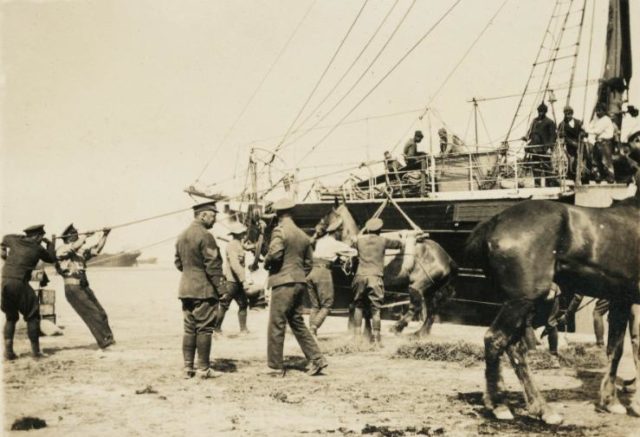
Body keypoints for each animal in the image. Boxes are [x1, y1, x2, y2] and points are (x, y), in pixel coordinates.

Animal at [464, 175, 640, 424]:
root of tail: (495, 221)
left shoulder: (621, 300)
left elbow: (616, 348)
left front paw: (610, 401)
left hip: (516, 304)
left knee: (514, 347)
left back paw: (530, 406)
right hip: (522, 301)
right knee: (497, 340)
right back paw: (505, 405)